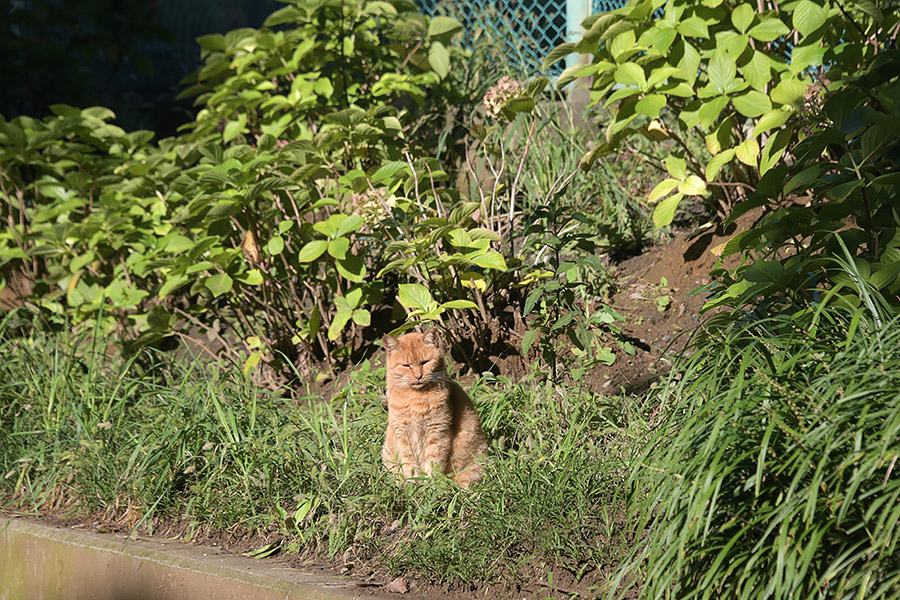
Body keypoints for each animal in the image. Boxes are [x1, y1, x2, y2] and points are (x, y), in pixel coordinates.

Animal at [384, 328, 488, 488]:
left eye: (425, 362)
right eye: (406, 365)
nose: (418, 376)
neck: (416, 399)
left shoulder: (437, 431)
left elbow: (433, 461)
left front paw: (430, 485)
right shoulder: (402, 433)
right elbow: (409, 462)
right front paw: (413, 485)